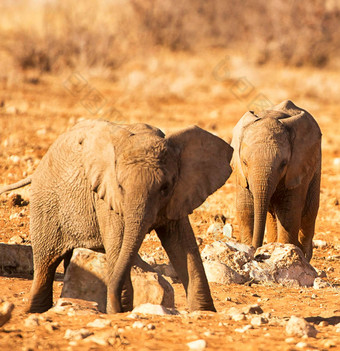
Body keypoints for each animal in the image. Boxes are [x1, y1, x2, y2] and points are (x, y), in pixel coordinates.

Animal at [0, 120, 234, 314]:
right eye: (121, 186)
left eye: (165, 187)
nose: (115, 308)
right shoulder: (106, 197)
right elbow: (118, 244)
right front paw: (120, 312)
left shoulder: (179, 195)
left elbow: (183, 245)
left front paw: (204, 312)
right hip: (46, 203)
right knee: (46, 263)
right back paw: (36, 311)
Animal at [231, 99, 322, 262]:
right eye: (245, 162)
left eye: (283, 164)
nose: (257, 254)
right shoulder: (240, 174)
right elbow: (245, 208)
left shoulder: (297, 168)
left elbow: (288, 213)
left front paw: (285, 254)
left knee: (309, 212)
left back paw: (305, 257)